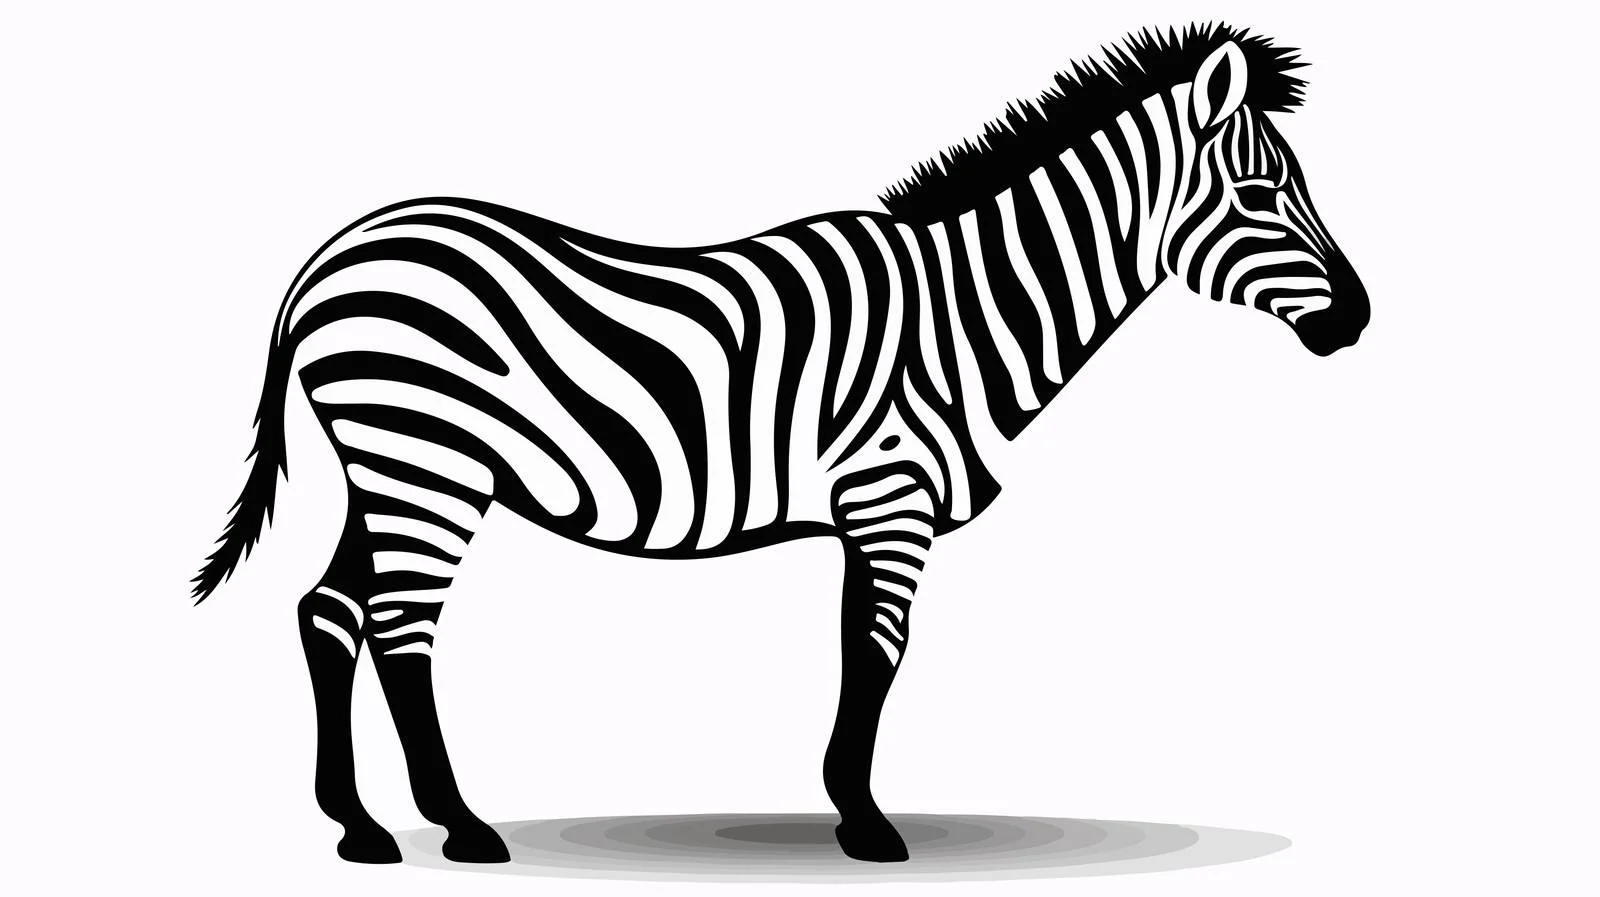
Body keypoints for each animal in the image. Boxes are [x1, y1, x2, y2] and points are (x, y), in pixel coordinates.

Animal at [194, 24, 1368, 865]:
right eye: (1261, 194)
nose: (1357, 320)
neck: (964, 313)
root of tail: (332, 255)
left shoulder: (875, 509)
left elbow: (863, 652)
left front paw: (853, 810)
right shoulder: (888, 497)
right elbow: (875, 651)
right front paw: (865, 821)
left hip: (395, 467)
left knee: (329, 609)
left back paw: (361, 827)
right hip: (427, 460)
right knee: (401, 628)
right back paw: (462, 825)